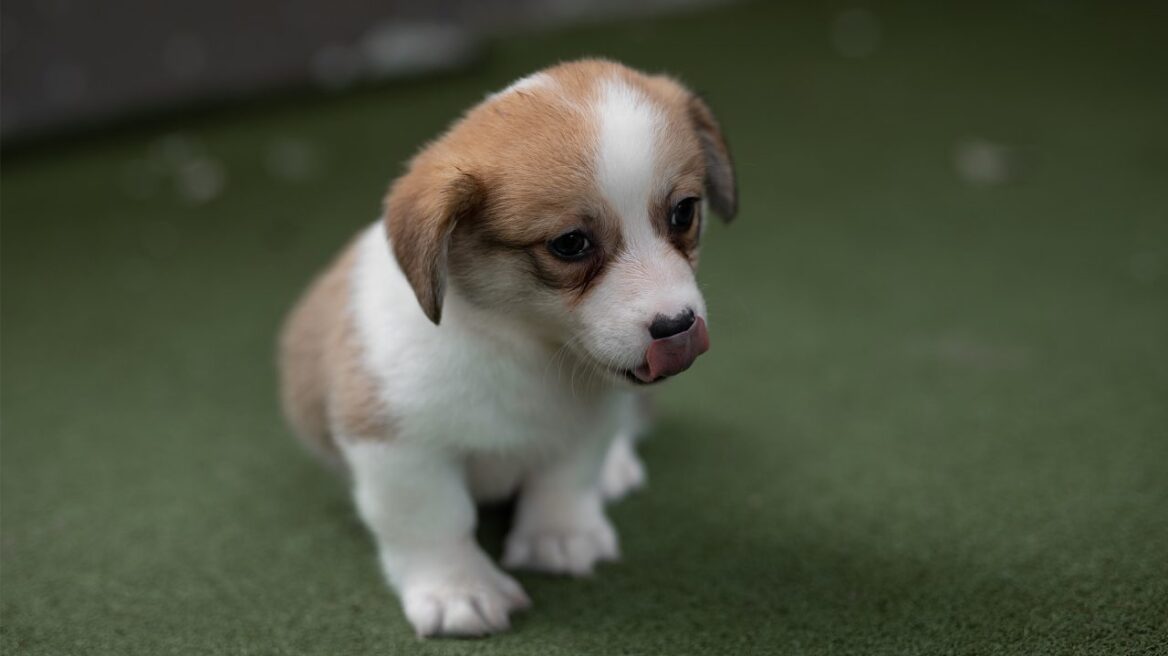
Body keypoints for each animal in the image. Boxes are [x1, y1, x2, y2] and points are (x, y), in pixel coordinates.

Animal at [277, 60, 733, 634]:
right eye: (569, 244)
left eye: (683, 213)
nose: (677, 326)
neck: (521, 345)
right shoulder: (397, 448)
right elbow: (435, 522)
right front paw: (459, 590)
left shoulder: (582, 429)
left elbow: (563, 483)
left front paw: (559, 538)